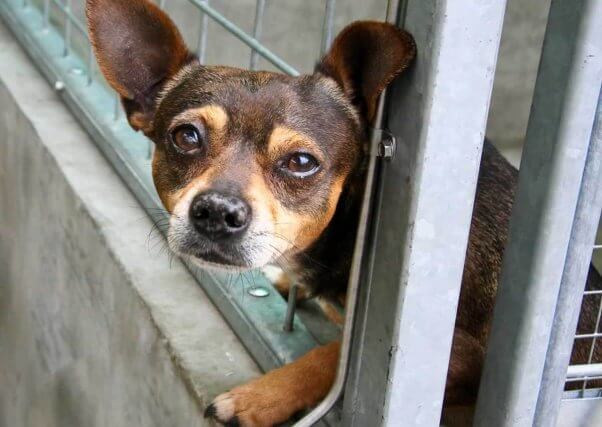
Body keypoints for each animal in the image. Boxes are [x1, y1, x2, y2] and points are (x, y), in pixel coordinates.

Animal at [86, 1, 596, 426]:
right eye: (186, 137)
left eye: (301, 162)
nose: (216, 211)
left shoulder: (462, 354)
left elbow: (331, 357)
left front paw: (256, 398)